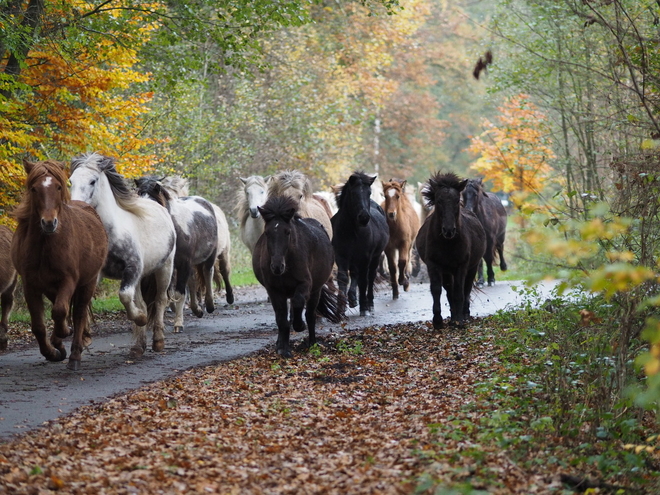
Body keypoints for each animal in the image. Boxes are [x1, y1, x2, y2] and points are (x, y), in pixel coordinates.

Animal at [10, 161, 108, 370]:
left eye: (58, 187)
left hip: (88, 283)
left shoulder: (68, 281)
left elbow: (60, 311)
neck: (45, 246)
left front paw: (64, 334)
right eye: (34, 188)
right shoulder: (31, 285)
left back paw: (74, 355)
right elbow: (39, 325)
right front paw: (52, 352)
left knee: (78, 314)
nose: (49, 223)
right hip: (51, 288)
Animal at [69, 153, 175, 358]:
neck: (111, 234)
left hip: (164, 268)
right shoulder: (97, 274)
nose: (75, 206)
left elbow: (124, 296)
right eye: (71, 180)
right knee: (143, 302)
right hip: (142, 276)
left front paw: (140, 318)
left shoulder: (132, 269)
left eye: (93, 181)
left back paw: (158, 341)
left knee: (160, 300)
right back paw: (138, 347)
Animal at [332, 172, 390, 316]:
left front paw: (364, 307)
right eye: (353, 193)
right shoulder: (341, 256)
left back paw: (369, 304)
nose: (364, 217)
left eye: (369, 193)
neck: (352, 231)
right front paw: (340, 309)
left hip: (375, 257)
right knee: (355, 274)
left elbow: (363, 280)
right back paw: (352, 299)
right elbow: (343, 278)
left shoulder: (365, 257)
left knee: (370, 276)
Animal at [416, 172, 488, 332]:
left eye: (456, 201)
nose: (449, 230)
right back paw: (453, 316)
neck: (447, 243)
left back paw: (464, 314)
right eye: (439, 201)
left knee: (466, 288)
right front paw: (438, 321)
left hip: (471, 267)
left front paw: (459, 320)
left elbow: (459, 291)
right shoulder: (434, 265)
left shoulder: (461, 266)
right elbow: (437, 290)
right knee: (449, 290)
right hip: (447, 271)